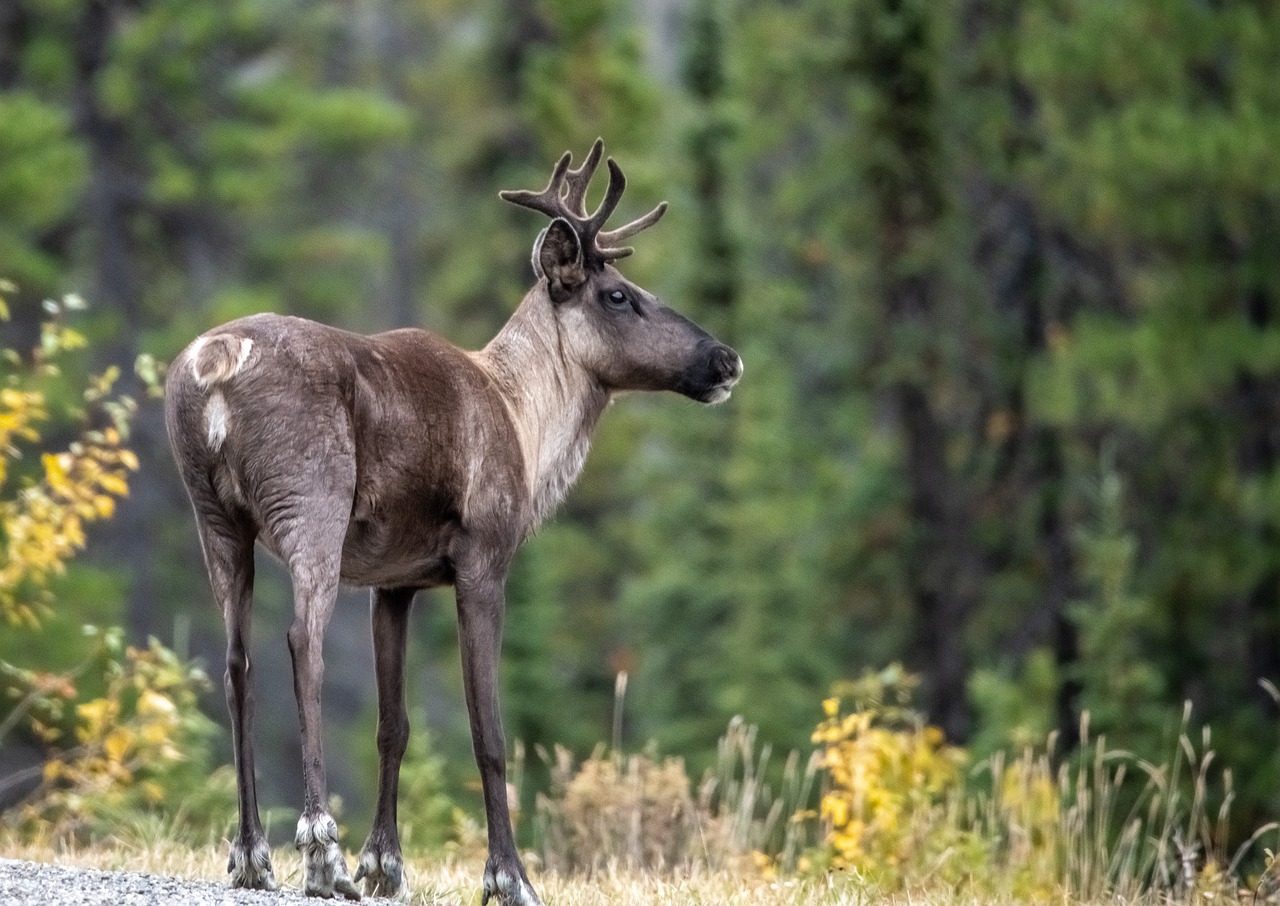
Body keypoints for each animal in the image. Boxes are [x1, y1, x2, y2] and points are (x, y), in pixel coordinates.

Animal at [164, 140, 742, 904]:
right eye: (619, 295)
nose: (726, 359)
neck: (526, 426)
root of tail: (212, 368)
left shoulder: (393, 582)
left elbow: (394, 725)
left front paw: (386, 864)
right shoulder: (483, 560)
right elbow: (488, 732)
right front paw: (508, 876)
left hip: (215, 518)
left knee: (237, 661)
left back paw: (251, 853)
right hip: (310, 502)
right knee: (300, 642)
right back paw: (320, 854)